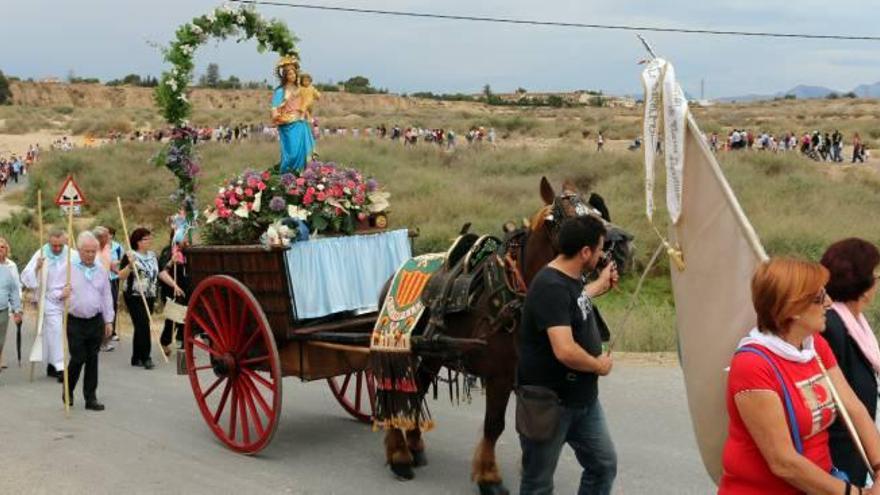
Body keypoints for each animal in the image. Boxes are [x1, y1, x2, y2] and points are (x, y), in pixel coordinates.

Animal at [382, 176, 636, 494]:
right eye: (573, 217)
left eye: (599, 212)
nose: (624, 245)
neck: (518, 297)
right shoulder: (499, 377)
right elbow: (494, 426)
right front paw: (489, 477)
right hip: (397, 350)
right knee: (395, 394)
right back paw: (399, 456)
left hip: (431, 355)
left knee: (417, 390)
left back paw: (414, 445)